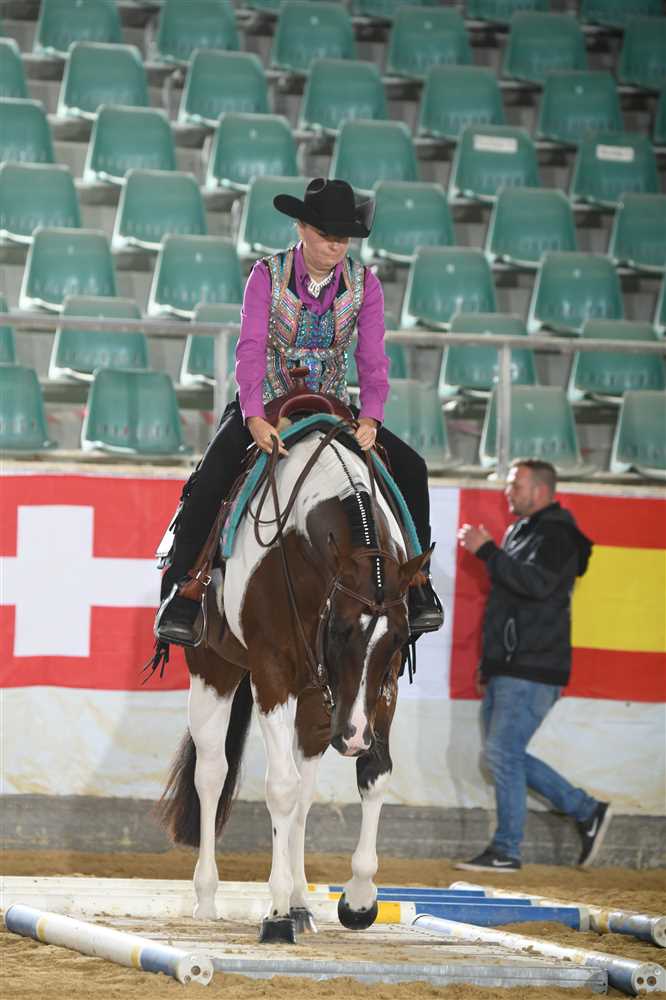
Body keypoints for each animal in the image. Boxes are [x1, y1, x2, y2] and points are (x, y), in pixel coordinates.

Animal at [158, 408, 429, 943]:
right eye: (341, 630)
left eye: (395, 640)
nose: (353, 736)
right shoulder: (272, 674)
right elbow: (278, 787)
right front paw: (277, 912)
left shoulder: (377, 690)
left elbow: (373, 774)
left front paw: (359, 899)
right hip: (215, 670)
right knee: (212, 773)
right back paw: (208, 898)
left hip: (316, 704)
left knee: (304, 790)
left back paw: (304, 903)